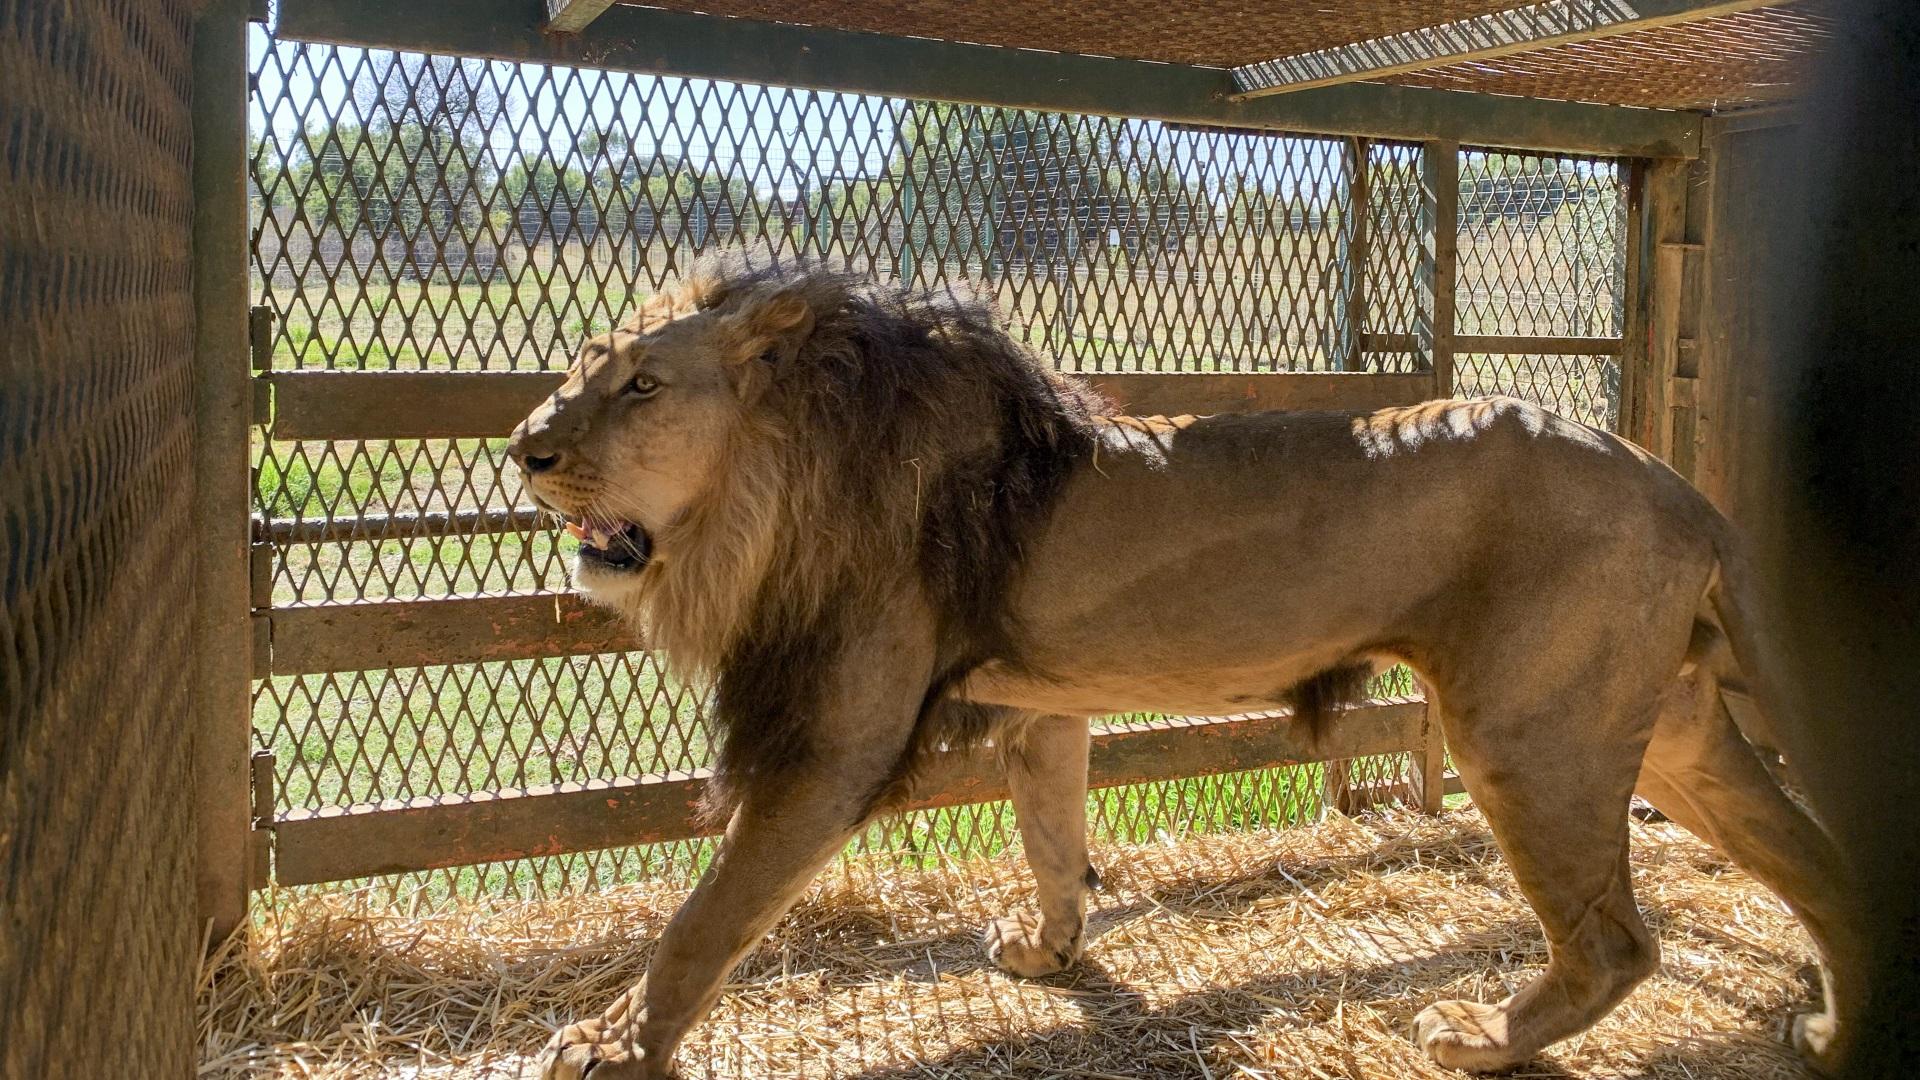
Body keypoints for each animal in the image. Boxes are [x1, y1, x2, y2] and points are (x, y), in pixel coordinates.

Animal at [508, 253, 1859, 1078]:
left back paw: (1482, 1035)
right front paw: (1050, 952)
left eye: (642, 385)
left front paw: (607, 1046)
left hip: (1530, 734)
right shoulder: (1036, 708)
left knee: (1617, 941)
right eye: (574, 372)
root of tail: (1679, 484)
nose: (523, 448)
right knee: (1820, 867)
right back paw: (1838, 1028)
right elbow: (1053, 834)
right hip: (1666, 723)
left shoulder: (835, 741)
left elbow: (707, 918)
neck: (771, 482)